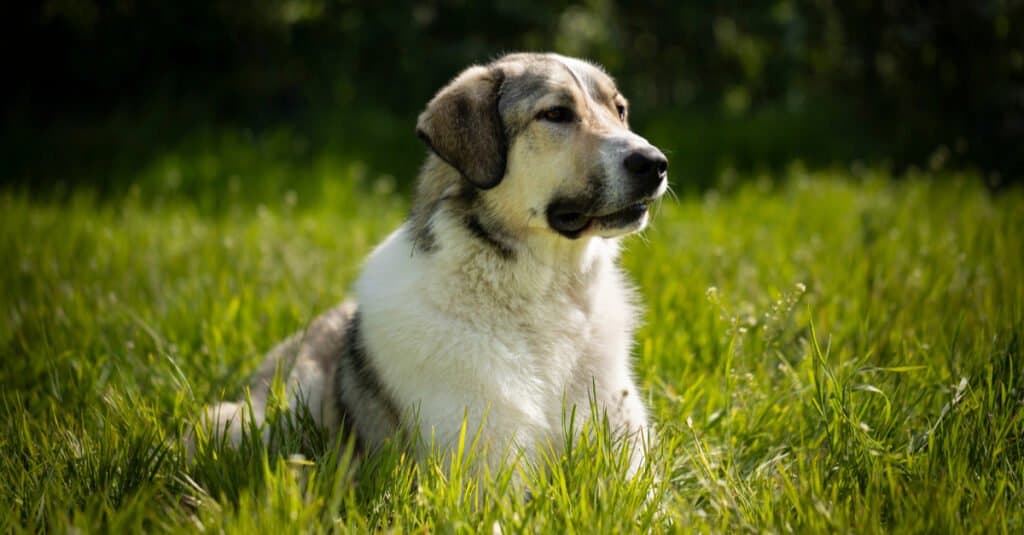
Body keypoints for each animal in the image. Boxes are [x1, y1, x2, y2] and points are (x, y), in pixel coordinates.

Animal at [200, 52, 667, 473]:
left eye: (619, 110)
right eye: (556, 113)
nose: (656, 164)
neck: (549, 294)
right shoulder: (487, 468)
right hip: (258, 418)